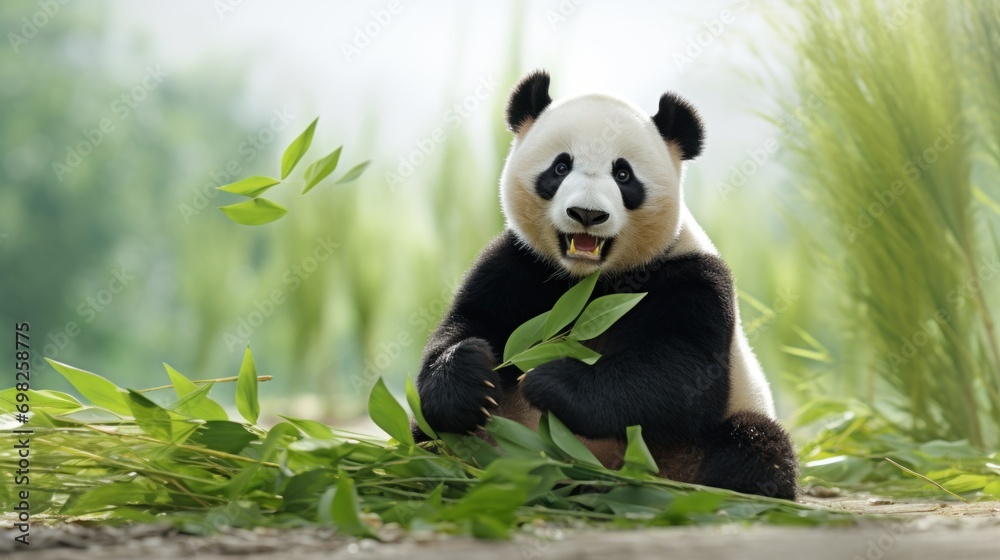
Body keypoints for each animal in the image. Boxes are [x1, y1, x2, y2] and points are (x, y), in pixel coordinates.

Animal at [412, 69, 796, 498]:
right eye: (560, 167)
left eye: (623, 174)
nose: (586, 214)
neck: (589, 282)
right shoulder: (519, 264)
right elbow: (470, 322)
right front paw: (468, 376)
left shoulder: (691, 278)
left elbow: (682, 373)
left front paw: (552, 382)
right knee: (429, 435)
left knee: (755, 446)